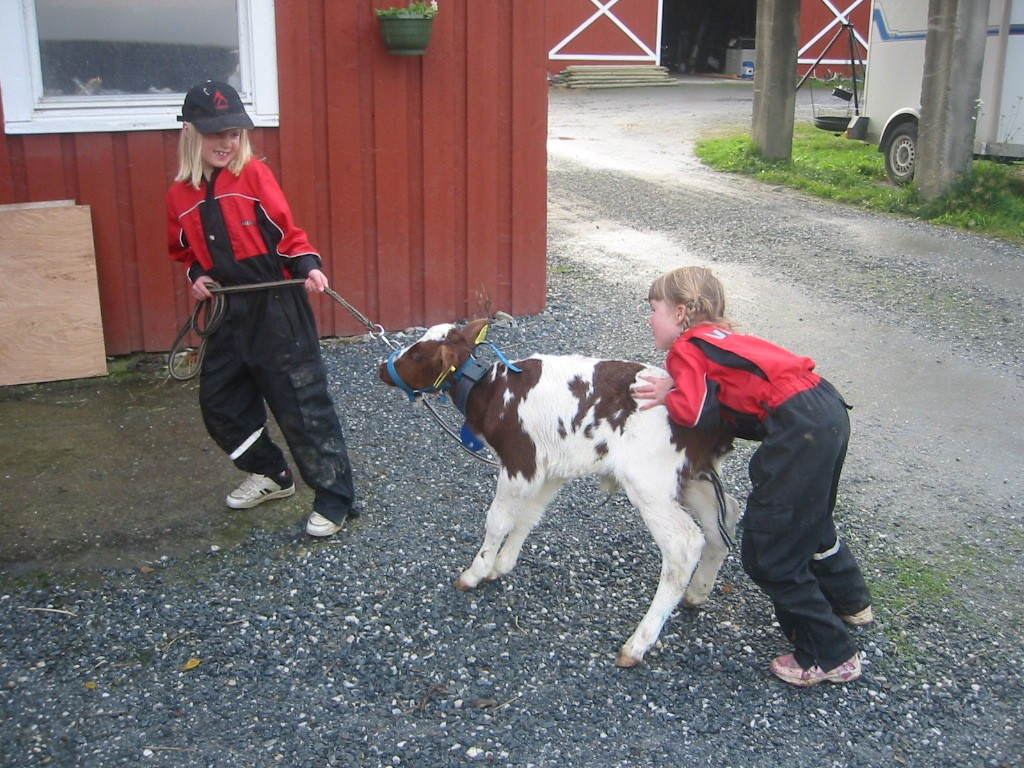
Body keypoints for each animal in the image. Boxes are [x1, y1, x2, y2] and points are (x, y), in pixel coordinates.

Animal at [376, 319, 737, 667]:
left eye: (418, 355)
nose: (382, 368)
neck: (489, 389)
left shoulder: (520, 461)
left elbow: (498, 519)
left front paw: (476, 571)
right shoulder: (549, 468)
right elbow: (528, 515)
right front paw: (502, 564)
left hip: (651, 484)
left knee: (684, 546)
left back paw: (637, 644)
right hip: (693, 478)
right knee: (724, 518)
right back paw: (698, 591)